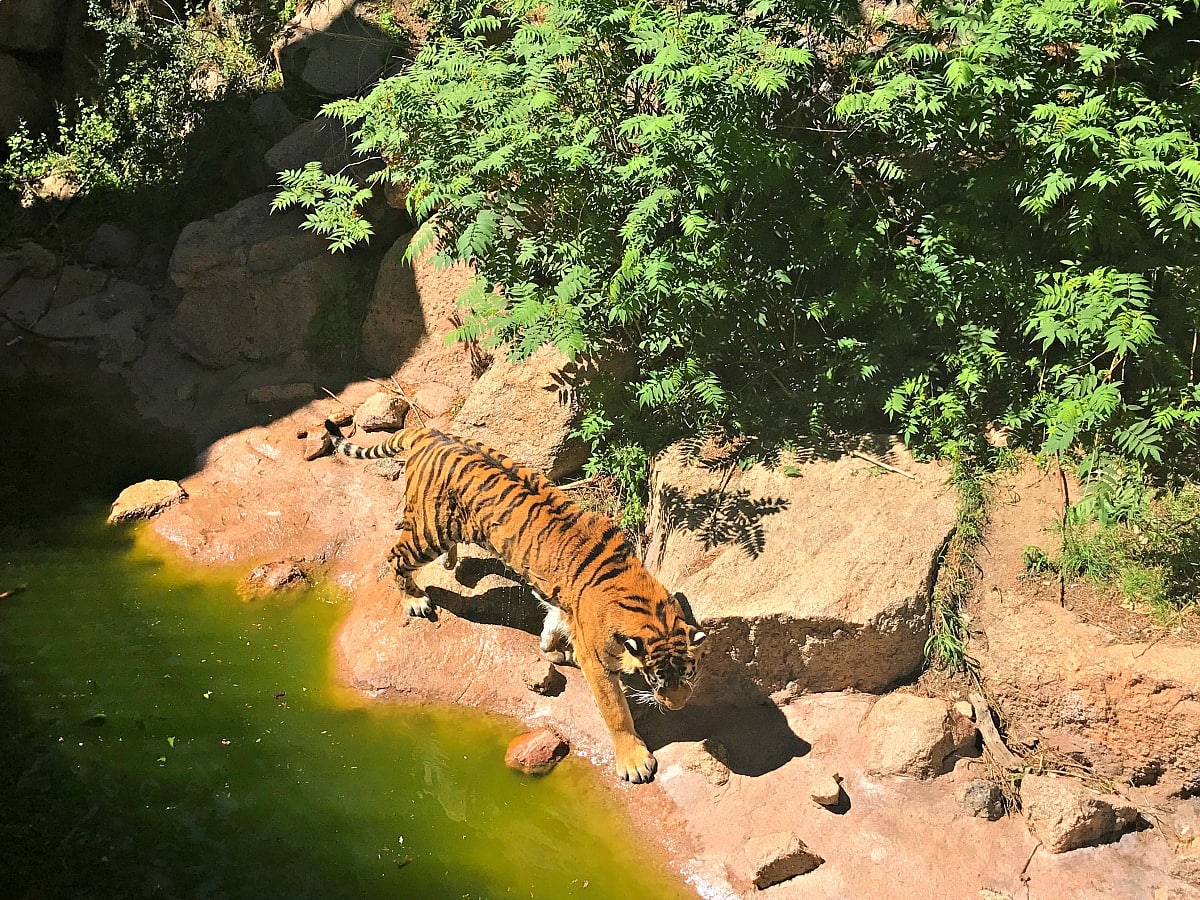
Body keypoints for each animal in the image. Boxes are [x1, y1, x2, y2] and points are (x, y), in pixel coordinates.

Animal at [316, 422, 700, 782]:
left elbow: (553, 622)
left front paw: (552, 649)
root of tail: (429, 433)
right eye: (655, 679)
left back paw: (452, 563)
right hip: (429, 531)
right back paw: (415, 600)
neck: (645, 600)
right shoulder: (598, 662)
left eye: (688, 671)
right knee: (396, 556)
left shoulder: (565, 606)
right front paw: (634, 761)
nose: (679, 706)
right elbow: (615, 711)